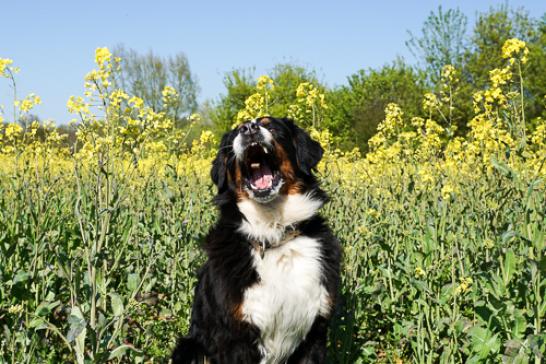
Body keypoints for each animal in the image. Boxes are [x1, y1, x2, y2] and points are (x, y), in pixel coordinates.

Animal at [172, 117, 338, 364]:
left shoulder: (314, 332)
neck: (273, 235)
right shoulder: (235, 337)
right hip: (190, 348)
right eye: (234, 134)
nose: (248, 128)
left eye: (271, 126)